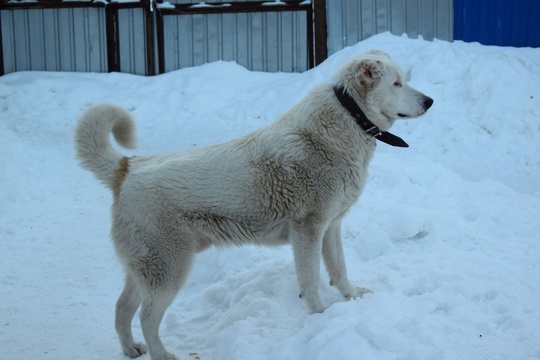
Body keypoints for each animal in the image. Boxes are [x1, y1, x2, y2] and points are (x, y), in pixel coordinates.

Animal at [73, 50, 434, 360]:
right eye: (397, 83)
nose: (429, 101)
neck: (348, 118)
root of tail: (126, 169)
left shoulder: (331, 226)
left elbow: (339, 269)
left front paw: (351, 298)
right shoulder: (308, 229)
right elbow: (311, 279)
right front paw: (321, 314)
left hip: (145, 270)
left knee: (122, 308)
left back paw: (130, 348)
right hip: (169, 269)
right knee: (147, 317)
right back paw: (161, 354)